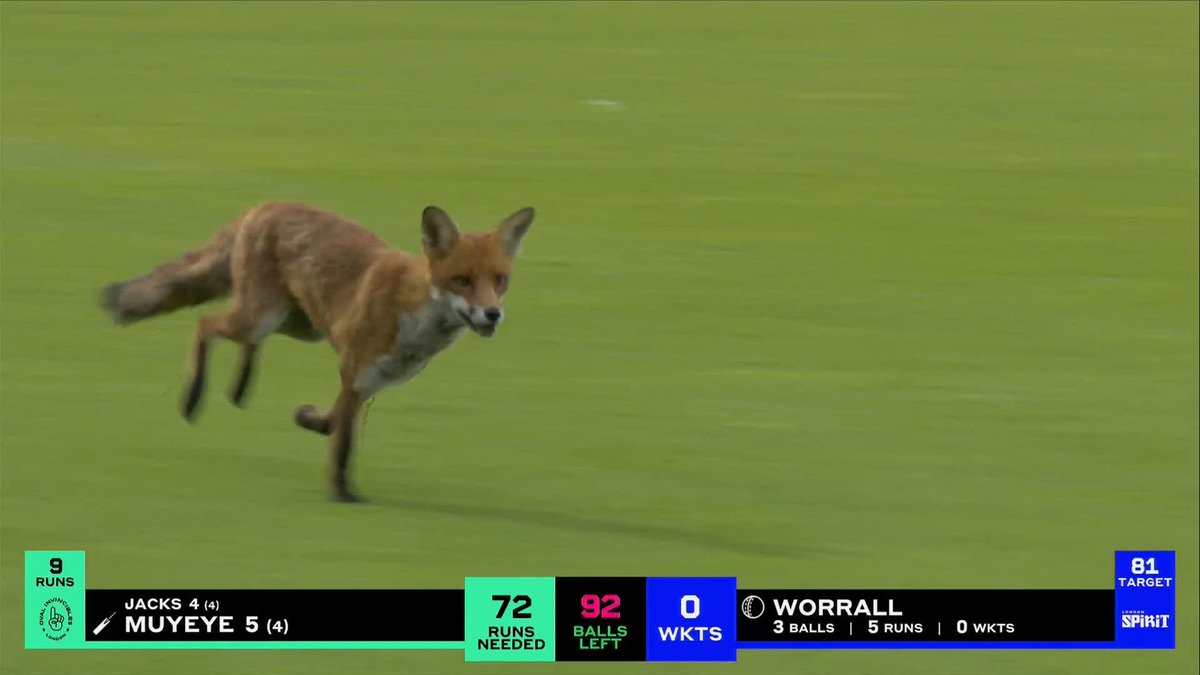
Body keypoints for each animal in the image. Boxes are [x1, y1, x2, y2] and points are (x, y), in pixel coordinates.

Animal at [100, 202, 535, 502]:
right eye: (462, 281)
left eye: (500, 280)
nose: (492, 313)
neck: (415, 317)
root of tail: (264, 206)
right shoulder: (355, 371)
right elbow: (341, 444)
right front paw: (342, 494)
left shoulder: (366, 382)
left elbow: (334, 424)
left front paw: (310, 420)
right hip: (262, 316)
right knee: (205, 325)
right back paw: (194, 396)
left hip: (294, 324)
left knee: (244, 341)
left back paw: (240, 388)